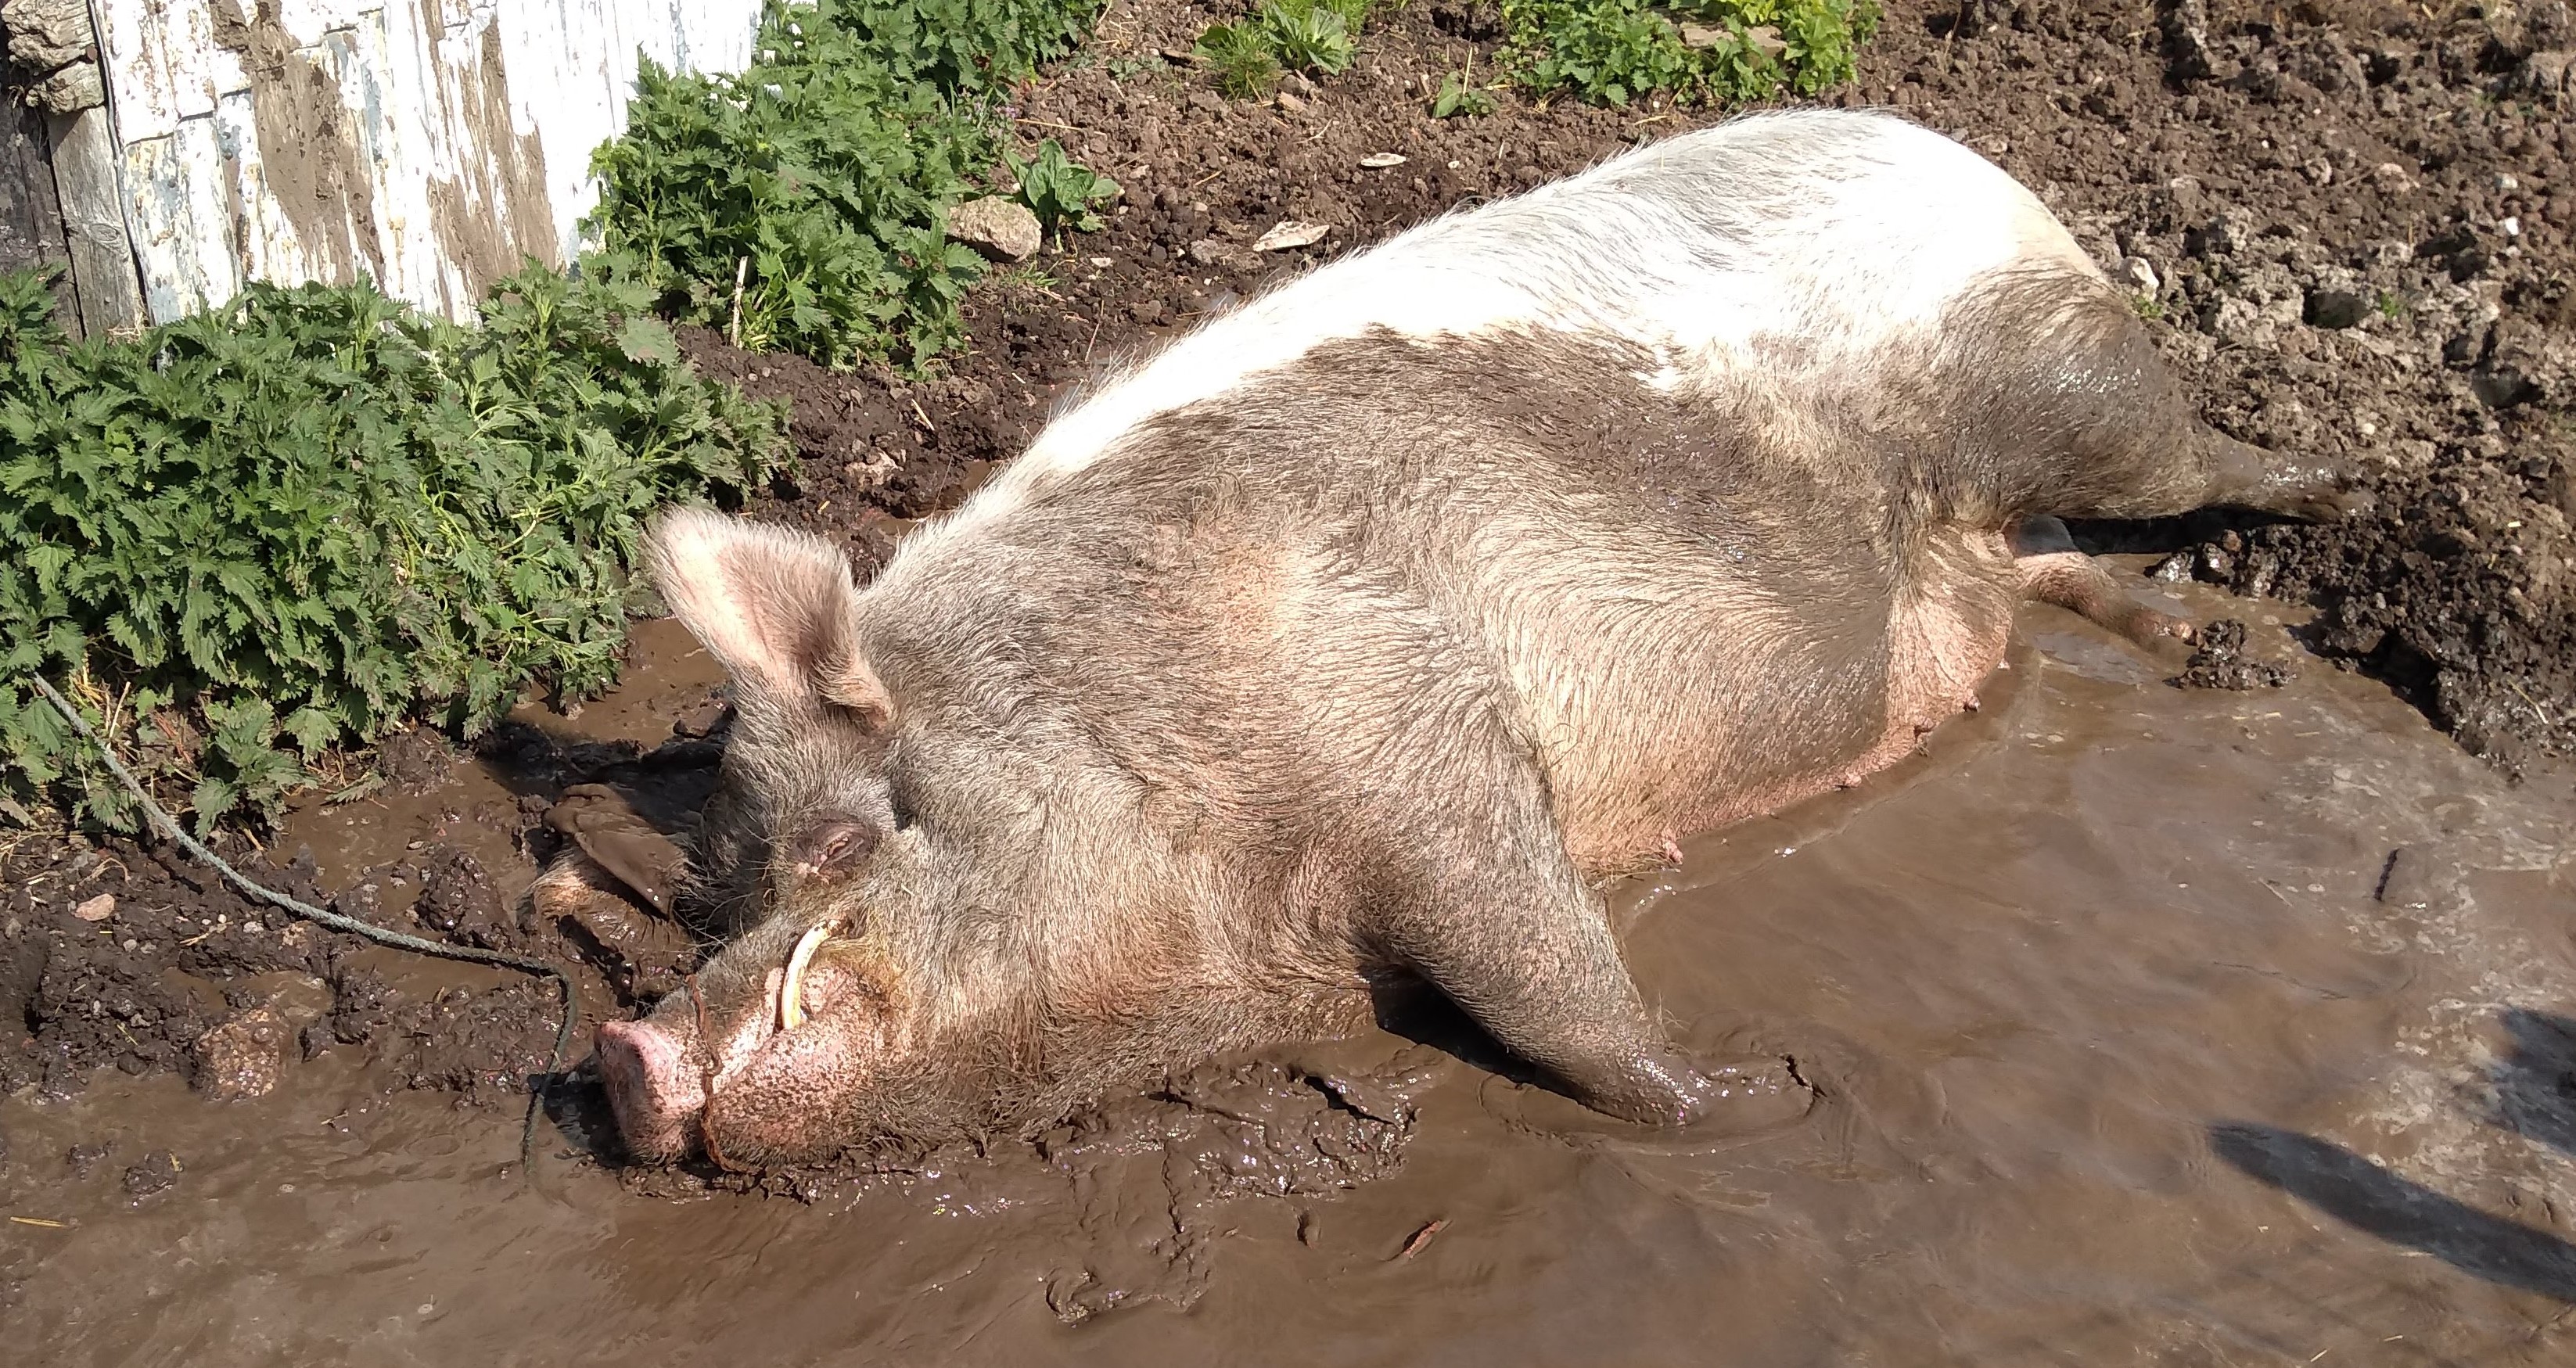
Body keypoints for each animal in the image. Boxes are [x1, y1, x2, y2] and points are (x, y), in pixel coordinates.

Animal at [593, 109, 2351, 1167]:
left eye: (845, 844)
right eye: (726, 888)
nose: (624, 1054)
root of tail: (1951, 150)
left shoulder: (1412, 720)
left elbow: (1544, 974)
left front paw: (1753, 1102)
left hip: (2068, 381)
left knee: (2181, 461)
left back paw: (2325, 507)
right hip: (1991, 525)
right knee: (2045, 570)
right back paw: (2215, 646)